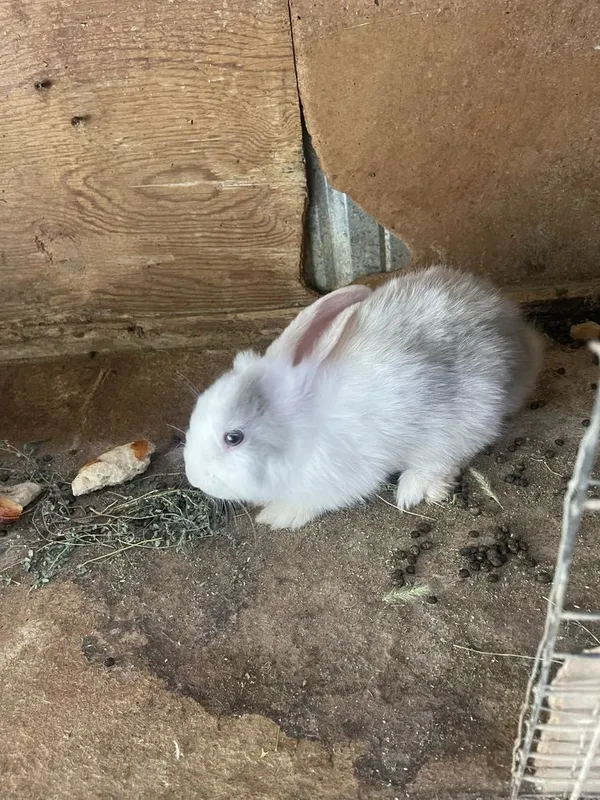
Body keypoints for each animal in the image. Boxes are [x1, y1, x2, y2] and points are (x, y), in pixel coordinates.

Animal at [184, 266, 542, 530]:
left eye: (234, 437)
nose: (194, 478)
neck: (300, 429)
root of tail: (522, 344)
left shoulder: (338, 478)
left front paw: (278, 515)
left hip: (463, 416)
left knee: (450, 455)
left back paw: (415, 489)